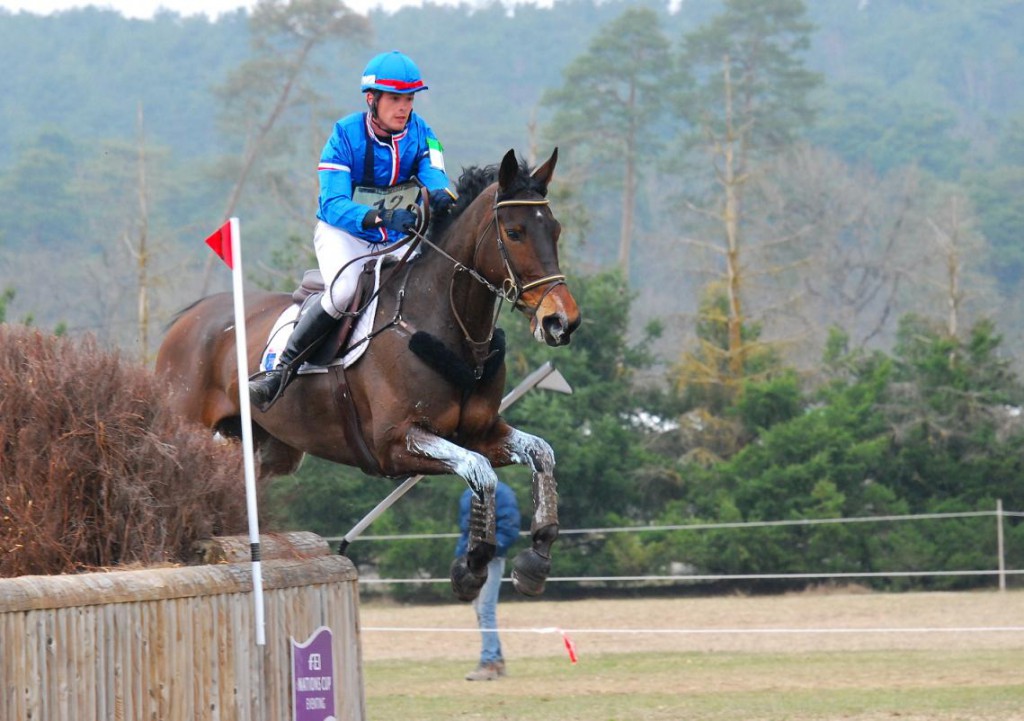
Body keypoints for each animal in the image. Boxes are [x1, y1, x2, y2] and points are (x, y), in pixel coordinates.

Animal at [155, 149, 581, 598]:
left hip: (269, 448)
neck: (448, 326)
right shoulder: (395, 443)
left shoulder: (480, 433)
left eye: (554, 229)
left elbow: (540, 454)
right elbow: (480, 471)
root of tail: (188, 319)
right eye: (514, 233)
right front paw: (474, 565)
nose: (561, 322)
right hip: (184, 426)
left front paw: (536, 558)